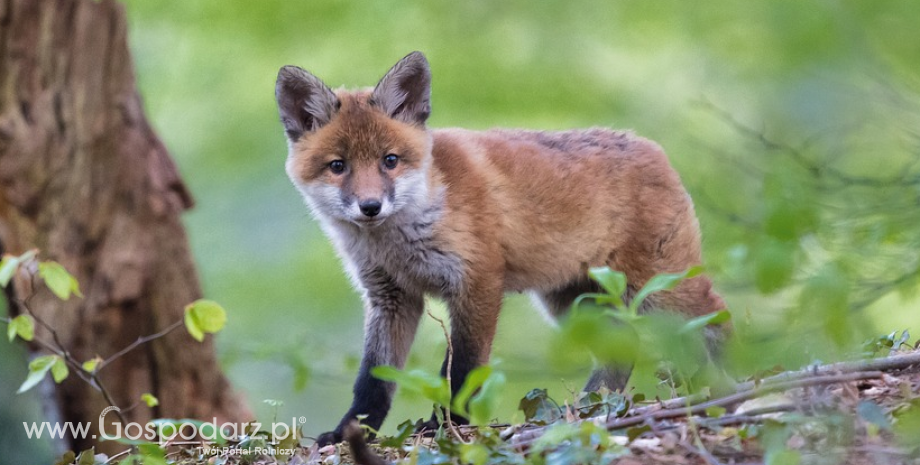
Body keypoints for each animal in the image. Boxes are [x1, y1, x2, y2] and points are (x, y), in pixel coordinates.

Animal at [274, 51, 724, 446]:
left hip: (660, 291)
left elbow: (464, 371)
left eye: (390, 160)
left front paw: (447, 425)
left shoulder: (477, 282)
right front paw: (352, 432)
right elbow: (373, 382)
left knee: (716, 320)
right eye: (338, 166)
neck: (401, 241)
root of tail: (651, 147)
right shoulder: (391, 298)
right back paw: (587, 410)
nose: (370, 207)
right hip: (574, 305)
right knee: (621, 353)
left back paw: (722, 388)